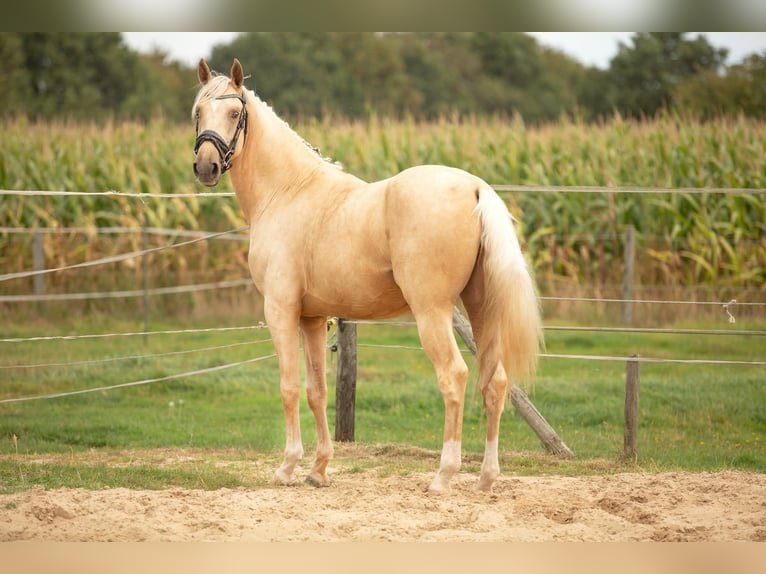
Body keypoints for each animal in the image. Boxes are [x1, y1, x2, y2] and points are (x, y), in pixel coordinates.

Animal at [192, 58, 543, 493]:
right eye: (198, 112)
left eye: (234, 113)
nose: (206, 168)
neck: (288, 192)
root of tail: (474, 186)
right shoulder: (312, 319)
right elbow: (317, 391)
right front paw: (318, 469)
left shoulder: (280, 311)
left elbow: (289, 387)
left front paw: (287, 467)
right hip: (481, 311)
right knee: (494, 382)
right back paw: (485, 479)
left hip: (432, 313)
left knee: (454, 376)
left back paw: (443, 475)